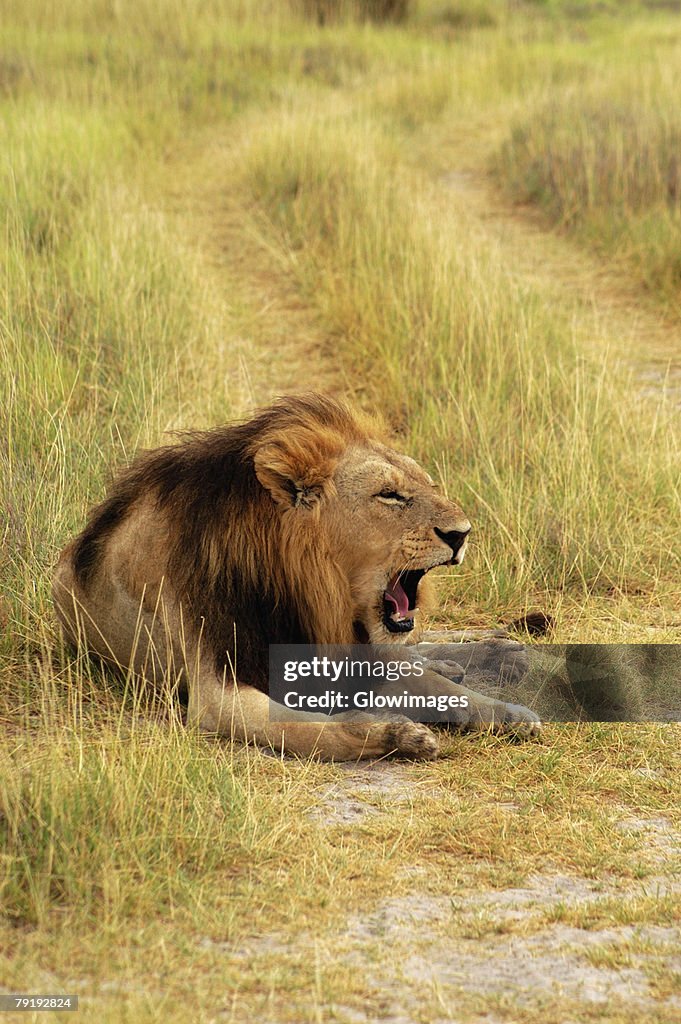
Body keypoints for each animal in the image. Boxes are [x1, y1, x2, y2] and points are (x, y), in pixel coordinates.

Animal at [53, 391, 540, 761]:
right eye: (390, 495)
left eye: (429, 485)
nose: (462, 534)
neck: (302, 587)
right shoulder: (216, 692)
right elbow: (310, 728)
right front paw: (395, 734)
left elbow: (437, 687)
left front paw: (508, 713)